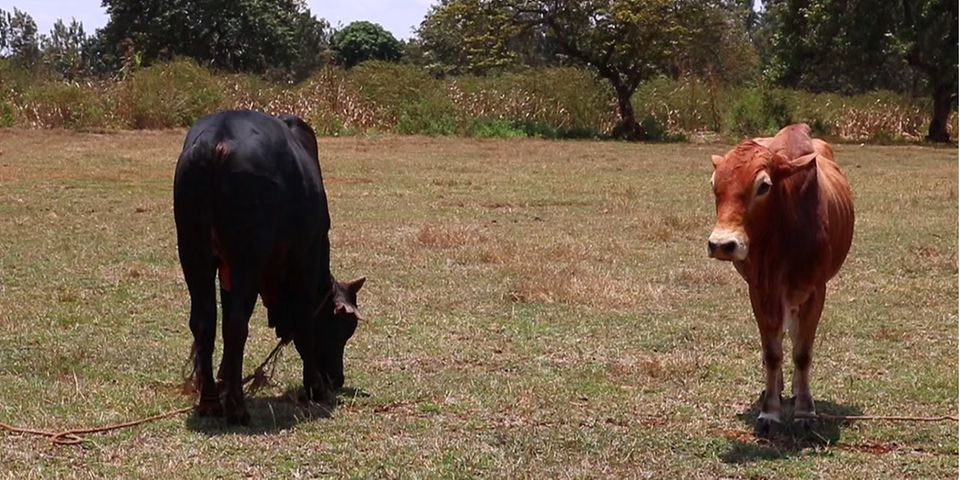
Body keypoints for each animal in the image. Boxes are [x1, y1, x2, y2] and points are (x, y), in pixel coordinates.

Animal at [172, 109, 364, 424]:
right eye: (344, 327)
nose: (337, 379)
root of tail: (217, 140)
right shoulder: (307, 258)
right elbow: (304, 323)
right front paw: (315, 387)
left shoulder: (226, 270)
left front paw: (225, 377)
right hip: (247, 259)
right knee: (236, 324)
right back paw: (237, 407)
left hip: (193, 252)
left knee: (204, 322)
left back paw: (211, 401)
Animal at [704, 123, 856, 436]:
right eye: (714, 185)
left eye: (763, 186)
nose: (722, 244)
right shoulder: (760, 290)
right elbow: (772, 352)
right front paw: (770, 412)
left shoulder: (815, 290)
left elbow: (802, 352)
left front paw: (805, 411)